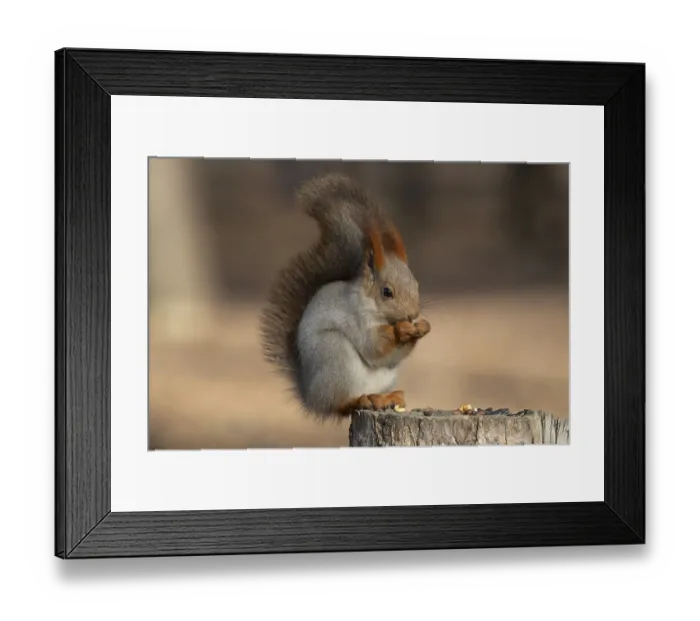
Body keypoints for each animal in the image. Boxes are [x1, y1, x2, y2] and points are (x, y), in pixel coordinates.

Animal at [260, 173, 431, 419]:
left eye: (416, 285)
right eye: (387, 292)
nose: (412, 315)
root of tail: (311, 397)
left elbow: (389, 356)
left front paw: (422, 326)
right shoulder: (356, 317)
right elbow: (373, 346)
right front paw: (402, 329)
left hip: (384, 376)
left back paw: (387, 397)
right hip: (335, 356)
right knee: (339, 404)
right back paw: (359, 400)